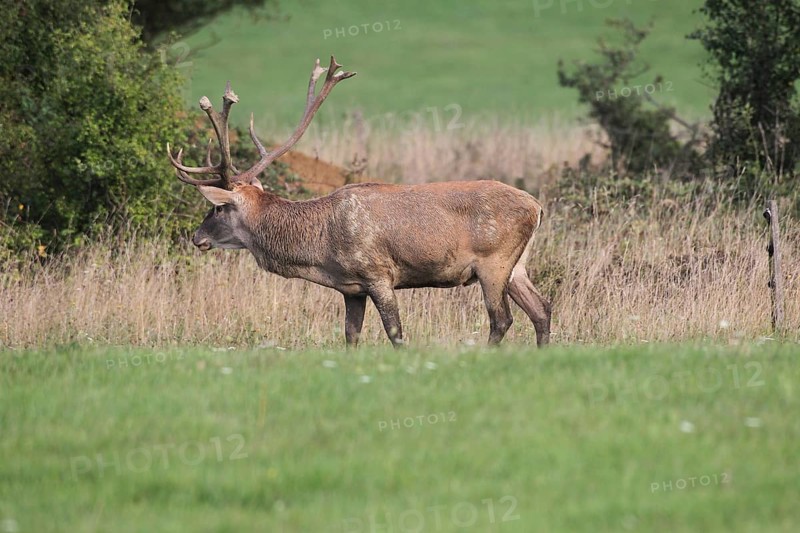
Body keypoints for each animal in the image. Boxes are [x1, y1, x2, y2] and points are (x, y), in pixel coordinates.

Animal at [167, 56, 551, 347]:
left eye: (218, 207)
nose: (197, 237)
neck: (319, 251)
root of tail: (537, 207)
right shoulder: (351, 288)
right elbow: (350, 335)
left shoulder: (378, 273)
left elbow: (396, 333)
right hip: (517, 265)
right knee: (542, 309)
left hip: (493, 261)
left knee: (501, 319)